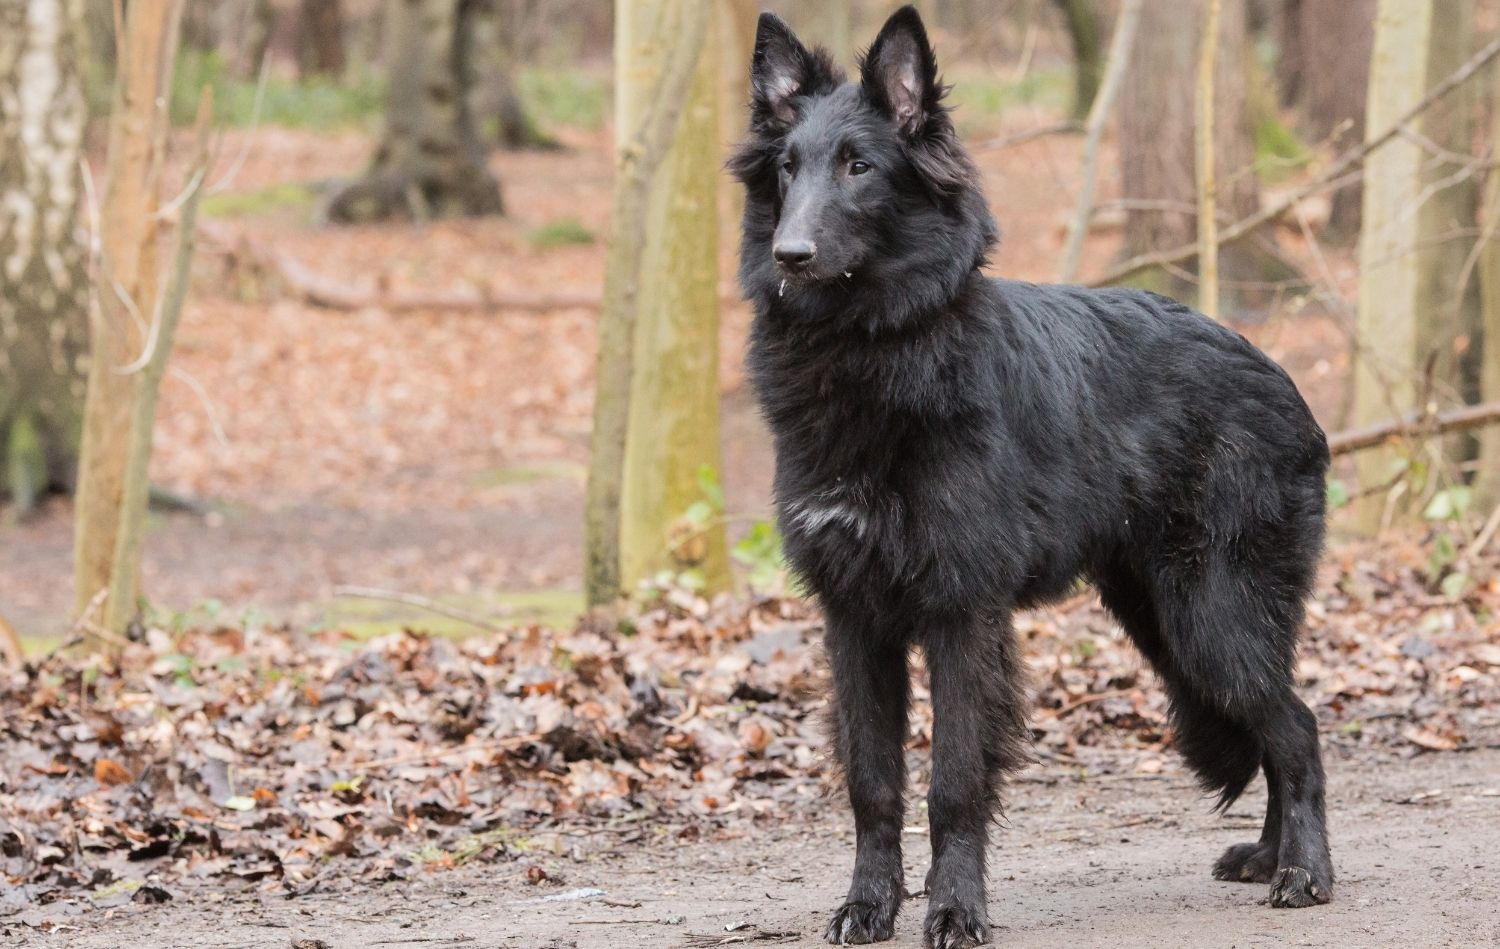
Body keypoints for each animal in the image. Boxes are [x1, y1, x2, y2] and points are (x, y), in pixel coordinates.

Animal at [732, 7, 1332, 947]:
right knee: (1272, 726)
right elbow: (872, 782)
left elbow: (952, 783)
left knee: (1297, 728)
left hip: (1212, 617)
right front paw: (869, 903)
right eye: (788, 168)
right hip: (1164, 622)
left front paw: (954, 908)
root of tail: (1280, 376)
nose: (790, 254)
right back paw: (1269, 856)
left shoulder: (960, 615)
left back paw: (1304, 871)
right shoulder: (854, 620)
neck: (871, 349)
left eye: (860, 167)